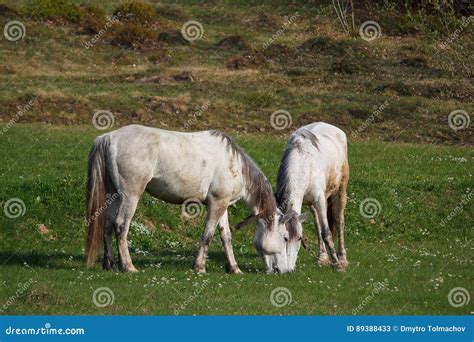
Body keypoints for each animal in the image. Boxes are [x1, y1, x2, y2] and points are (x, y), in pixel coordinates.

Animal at [86, 124, 290, 274]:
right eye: (286, 237)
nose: (285, 271)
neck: (235, 165)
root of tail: (109, 137)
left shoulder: (222, 205)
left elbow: (226, 237)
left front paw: (234, 268)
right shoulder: (216, 204)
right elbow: (208, 235)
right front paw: (199, 267)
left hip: (114, 195)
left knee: (107, 225)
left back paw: (109, 264)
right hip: (131, 195)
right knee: (121, 225)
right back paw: (128, 266)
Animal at [274, 121, 348, 272]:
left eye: (299, 238)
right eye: (283, 238)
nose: (287, 269)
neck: (303, 160)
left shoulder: (320, 200)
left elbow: (326, 233)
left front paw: (337, 264)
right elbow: (319, 228)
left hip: (341, 190)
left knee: (339, 220)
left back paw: (342, 258)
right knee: (317, 223)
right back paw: (323, 256)